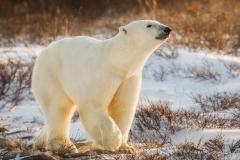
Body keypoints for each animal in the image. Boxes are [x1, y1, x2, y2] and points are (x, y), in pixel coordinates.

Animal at [31, 20, 171, 154]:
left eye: (158, 22)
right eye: (149, 25)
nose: (167, 29)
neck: (118, 60)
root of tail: (44, 51)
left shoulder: (129, 78)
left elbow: (122, 108)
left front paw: (126, 148)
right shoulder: (105, 73)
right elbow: (92, 104)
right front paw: (113, 143)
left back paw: (39, 141)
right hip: (51, 74)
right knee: (58, 107)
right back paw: (63, 145)